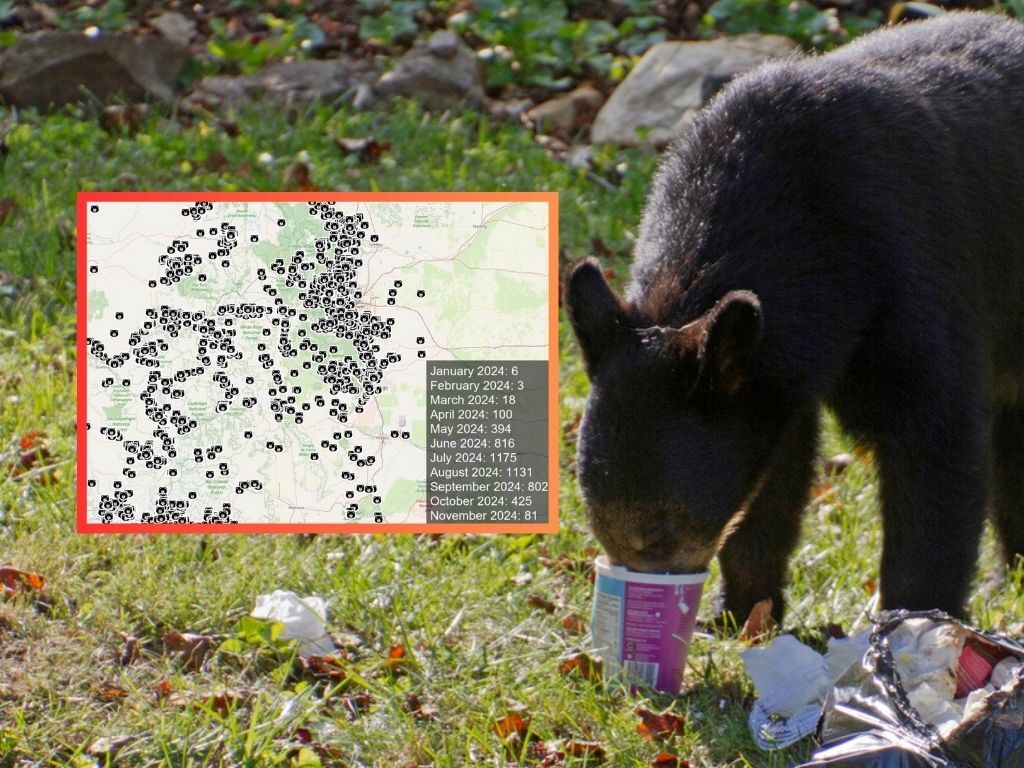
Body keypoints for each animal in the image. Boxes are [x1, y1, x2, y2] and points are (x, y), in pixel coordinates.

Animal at [564, 12, 1024, 623]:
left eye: (660, 533)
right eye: (600, 527)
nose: (649, 603)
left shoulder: (912, 273)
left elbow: (936, 437)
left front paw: (912, 618)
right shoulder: (771, 370)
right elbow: (776, 471)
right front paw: (742, 611)